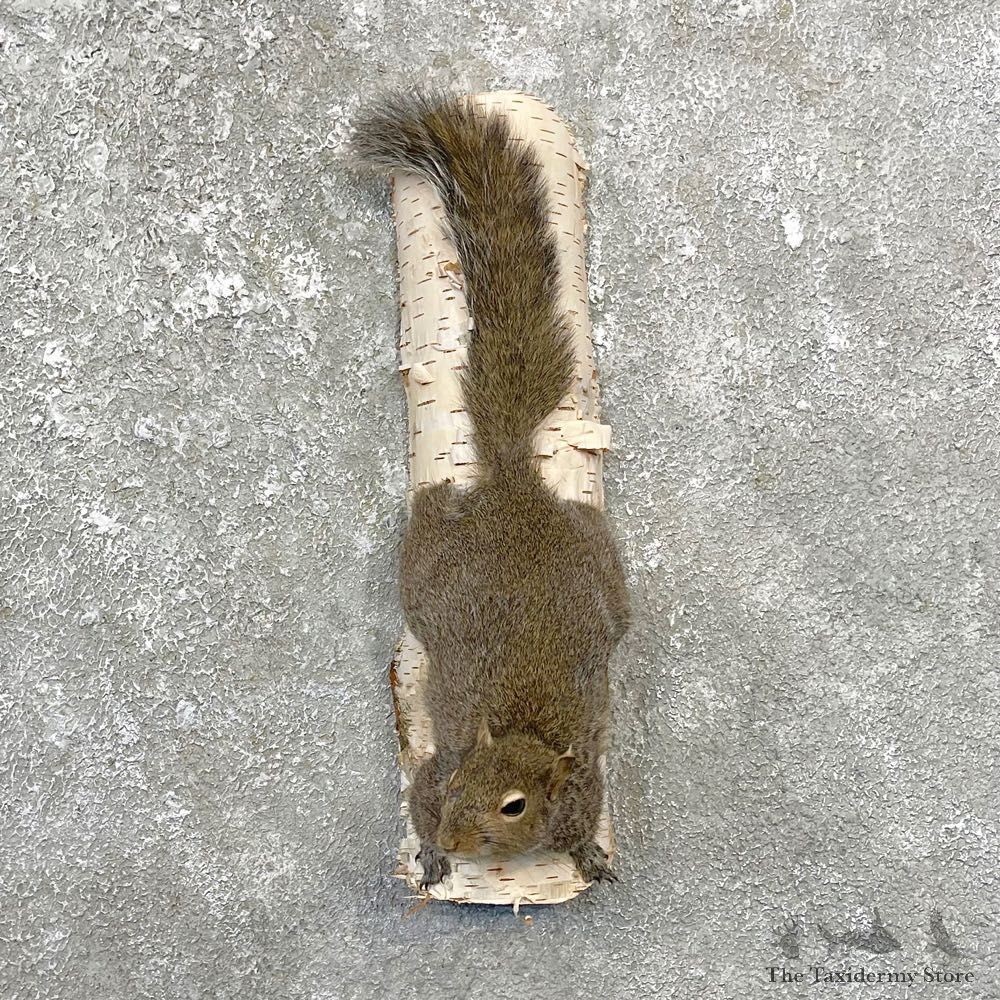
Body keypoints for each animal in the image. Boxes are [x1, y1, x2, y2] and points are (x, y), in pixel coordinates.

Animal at [352, 92, 630, 888]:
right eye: (455, 782)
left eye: (513, 806)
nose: (453, 832)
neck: (522, 733)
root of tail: (514, 493)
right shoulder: (429, 776)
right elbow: (416, 799)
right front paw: (430, 856)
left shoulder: (584, 788)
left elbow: (580, 826)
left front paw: (587, 855)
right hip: (432, 570)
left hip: (593, 556)